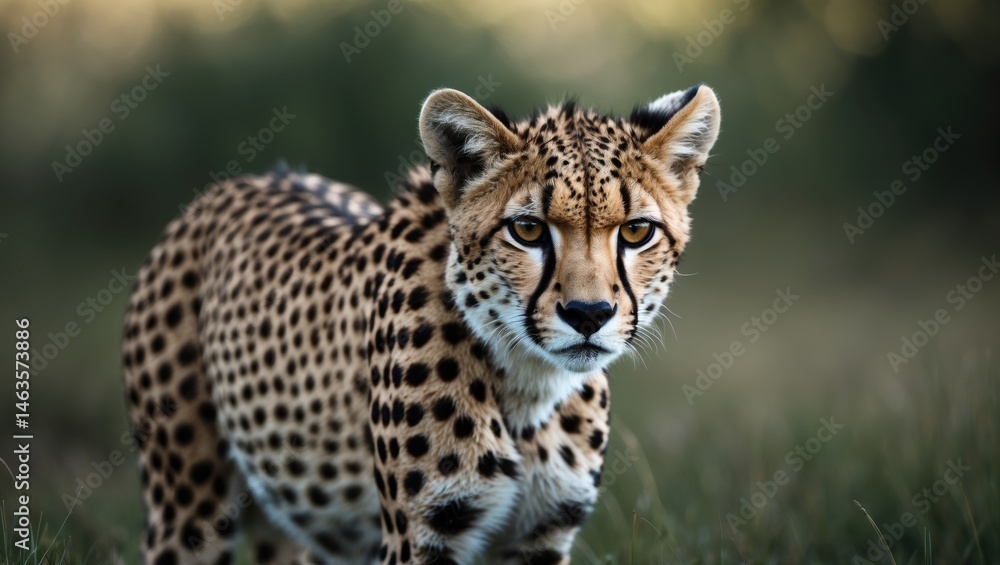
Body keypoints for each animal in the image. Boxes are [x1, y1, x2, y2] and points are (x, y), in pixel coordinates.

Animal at [121, 83, 721, 564]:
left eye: (637, 231)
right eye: (527, 230)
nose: (589, 314)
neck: (526, 387)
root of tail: (240, 183)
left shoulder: (541, 539)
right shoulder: (420, 538)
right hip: (186, 509)